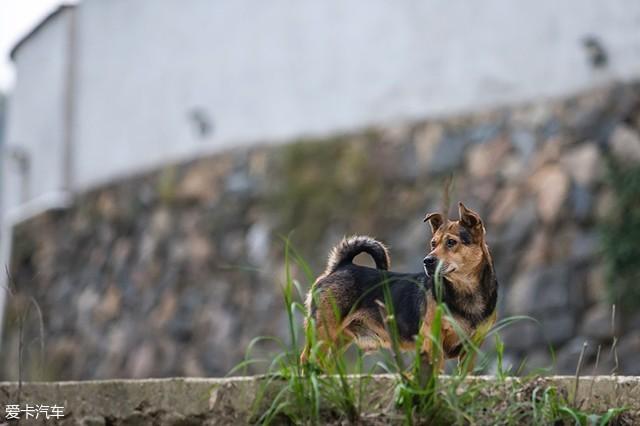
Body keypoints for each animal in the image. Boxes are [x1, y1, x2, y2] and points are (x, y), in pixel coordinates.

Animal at [302, 201, 498, 372]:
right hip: (323, 330)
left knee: (325, 362)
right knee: (307, 358)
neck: (465, 290)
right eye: (433, 244)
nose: (427, 261)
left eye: (451, 242)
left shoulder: (472, 346)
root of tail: (342, 266)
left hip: (339, 338)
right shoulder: (433, 340)